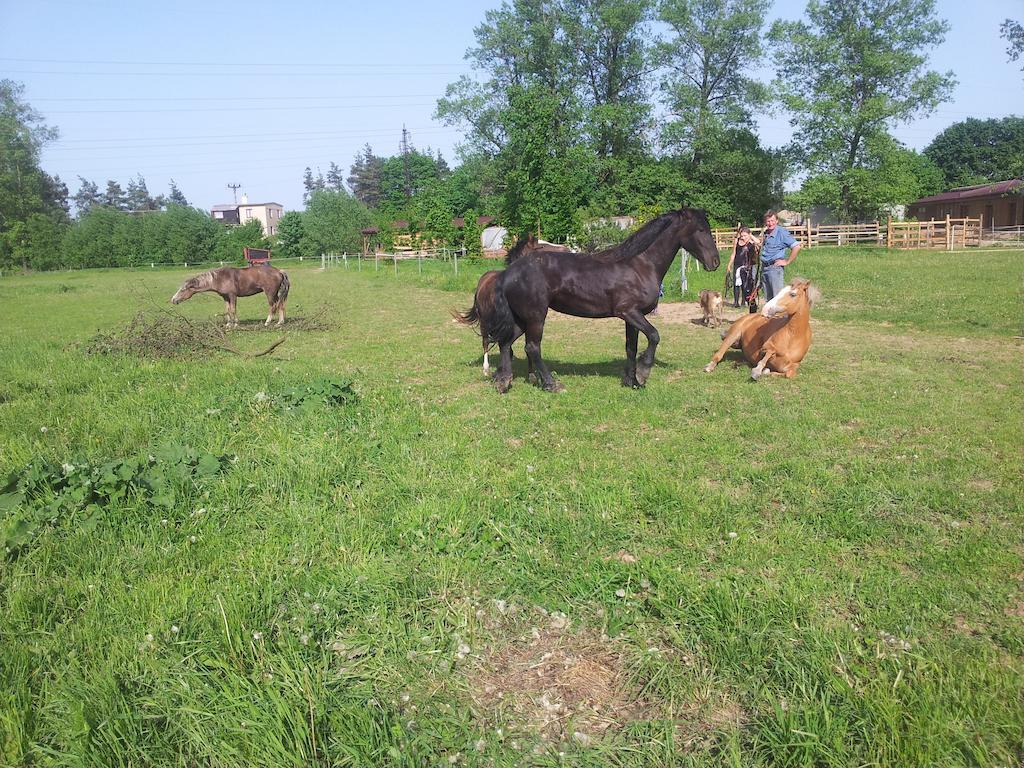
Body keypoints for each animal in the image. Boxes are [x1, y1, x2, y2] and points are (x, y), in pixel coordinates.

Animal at [485, 207, 720, 393]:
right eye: (701, 230)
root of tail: (508, 273)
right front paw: (643, 373)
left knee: (506, 342)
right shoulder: (628, 312)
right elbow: (654, 336)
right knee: (532, 347)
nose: (715, 262)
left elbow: (631, 347)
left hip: (521, 319)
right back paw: (552, 384)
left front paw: (631, 381)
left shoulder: (633, 317)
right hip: (535, 317)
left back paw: (504, 381)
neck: (640, 265)